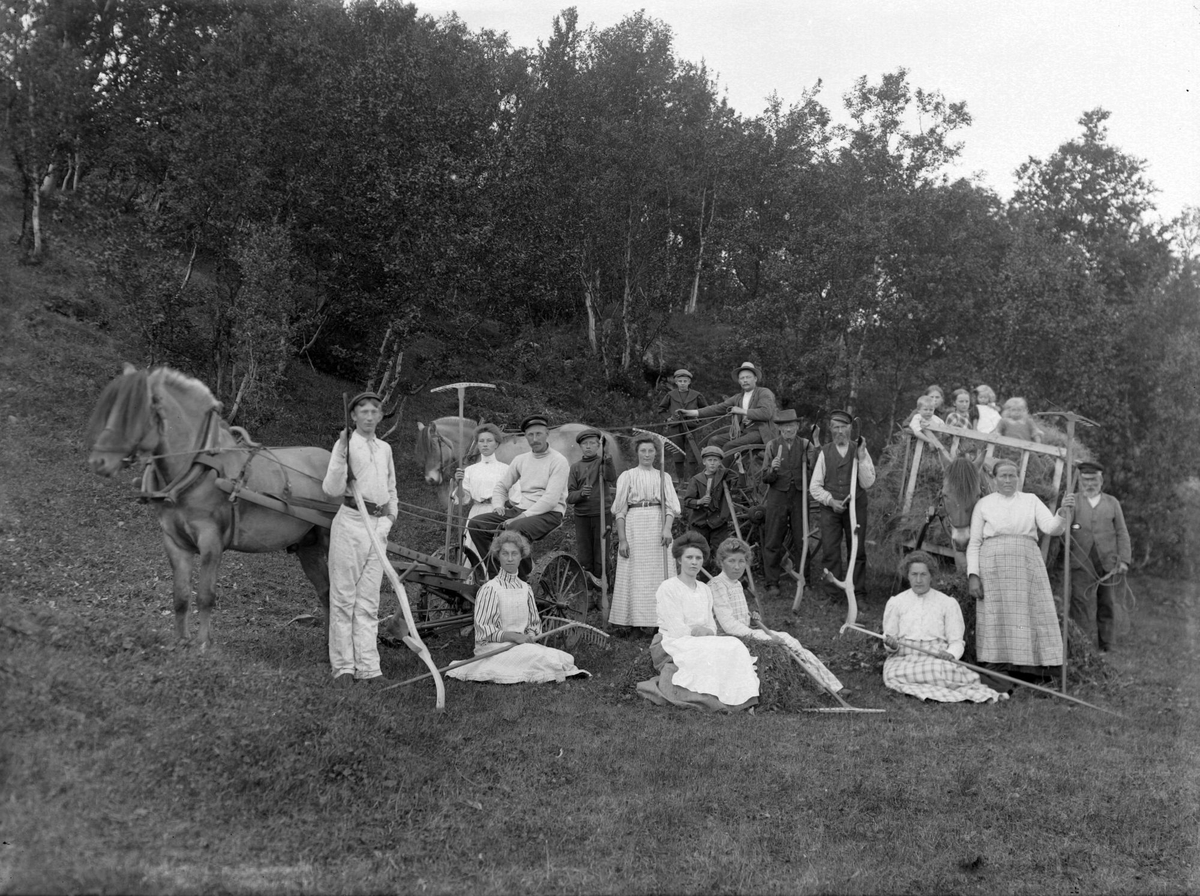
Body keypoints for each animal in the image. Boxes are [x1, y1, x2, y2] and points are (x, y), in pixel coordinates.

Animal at [87, 364, 336, 652]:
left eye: (134, 410)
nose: (98, 461)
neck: (199, 468)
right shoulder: (174, 542)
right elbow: (181, 595)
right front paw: (181, 640)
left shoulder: (210, 541)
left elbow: (205, 595)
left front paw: (203, 643)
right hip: (309, 546)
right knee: (327, 592)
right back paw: (329, 645)